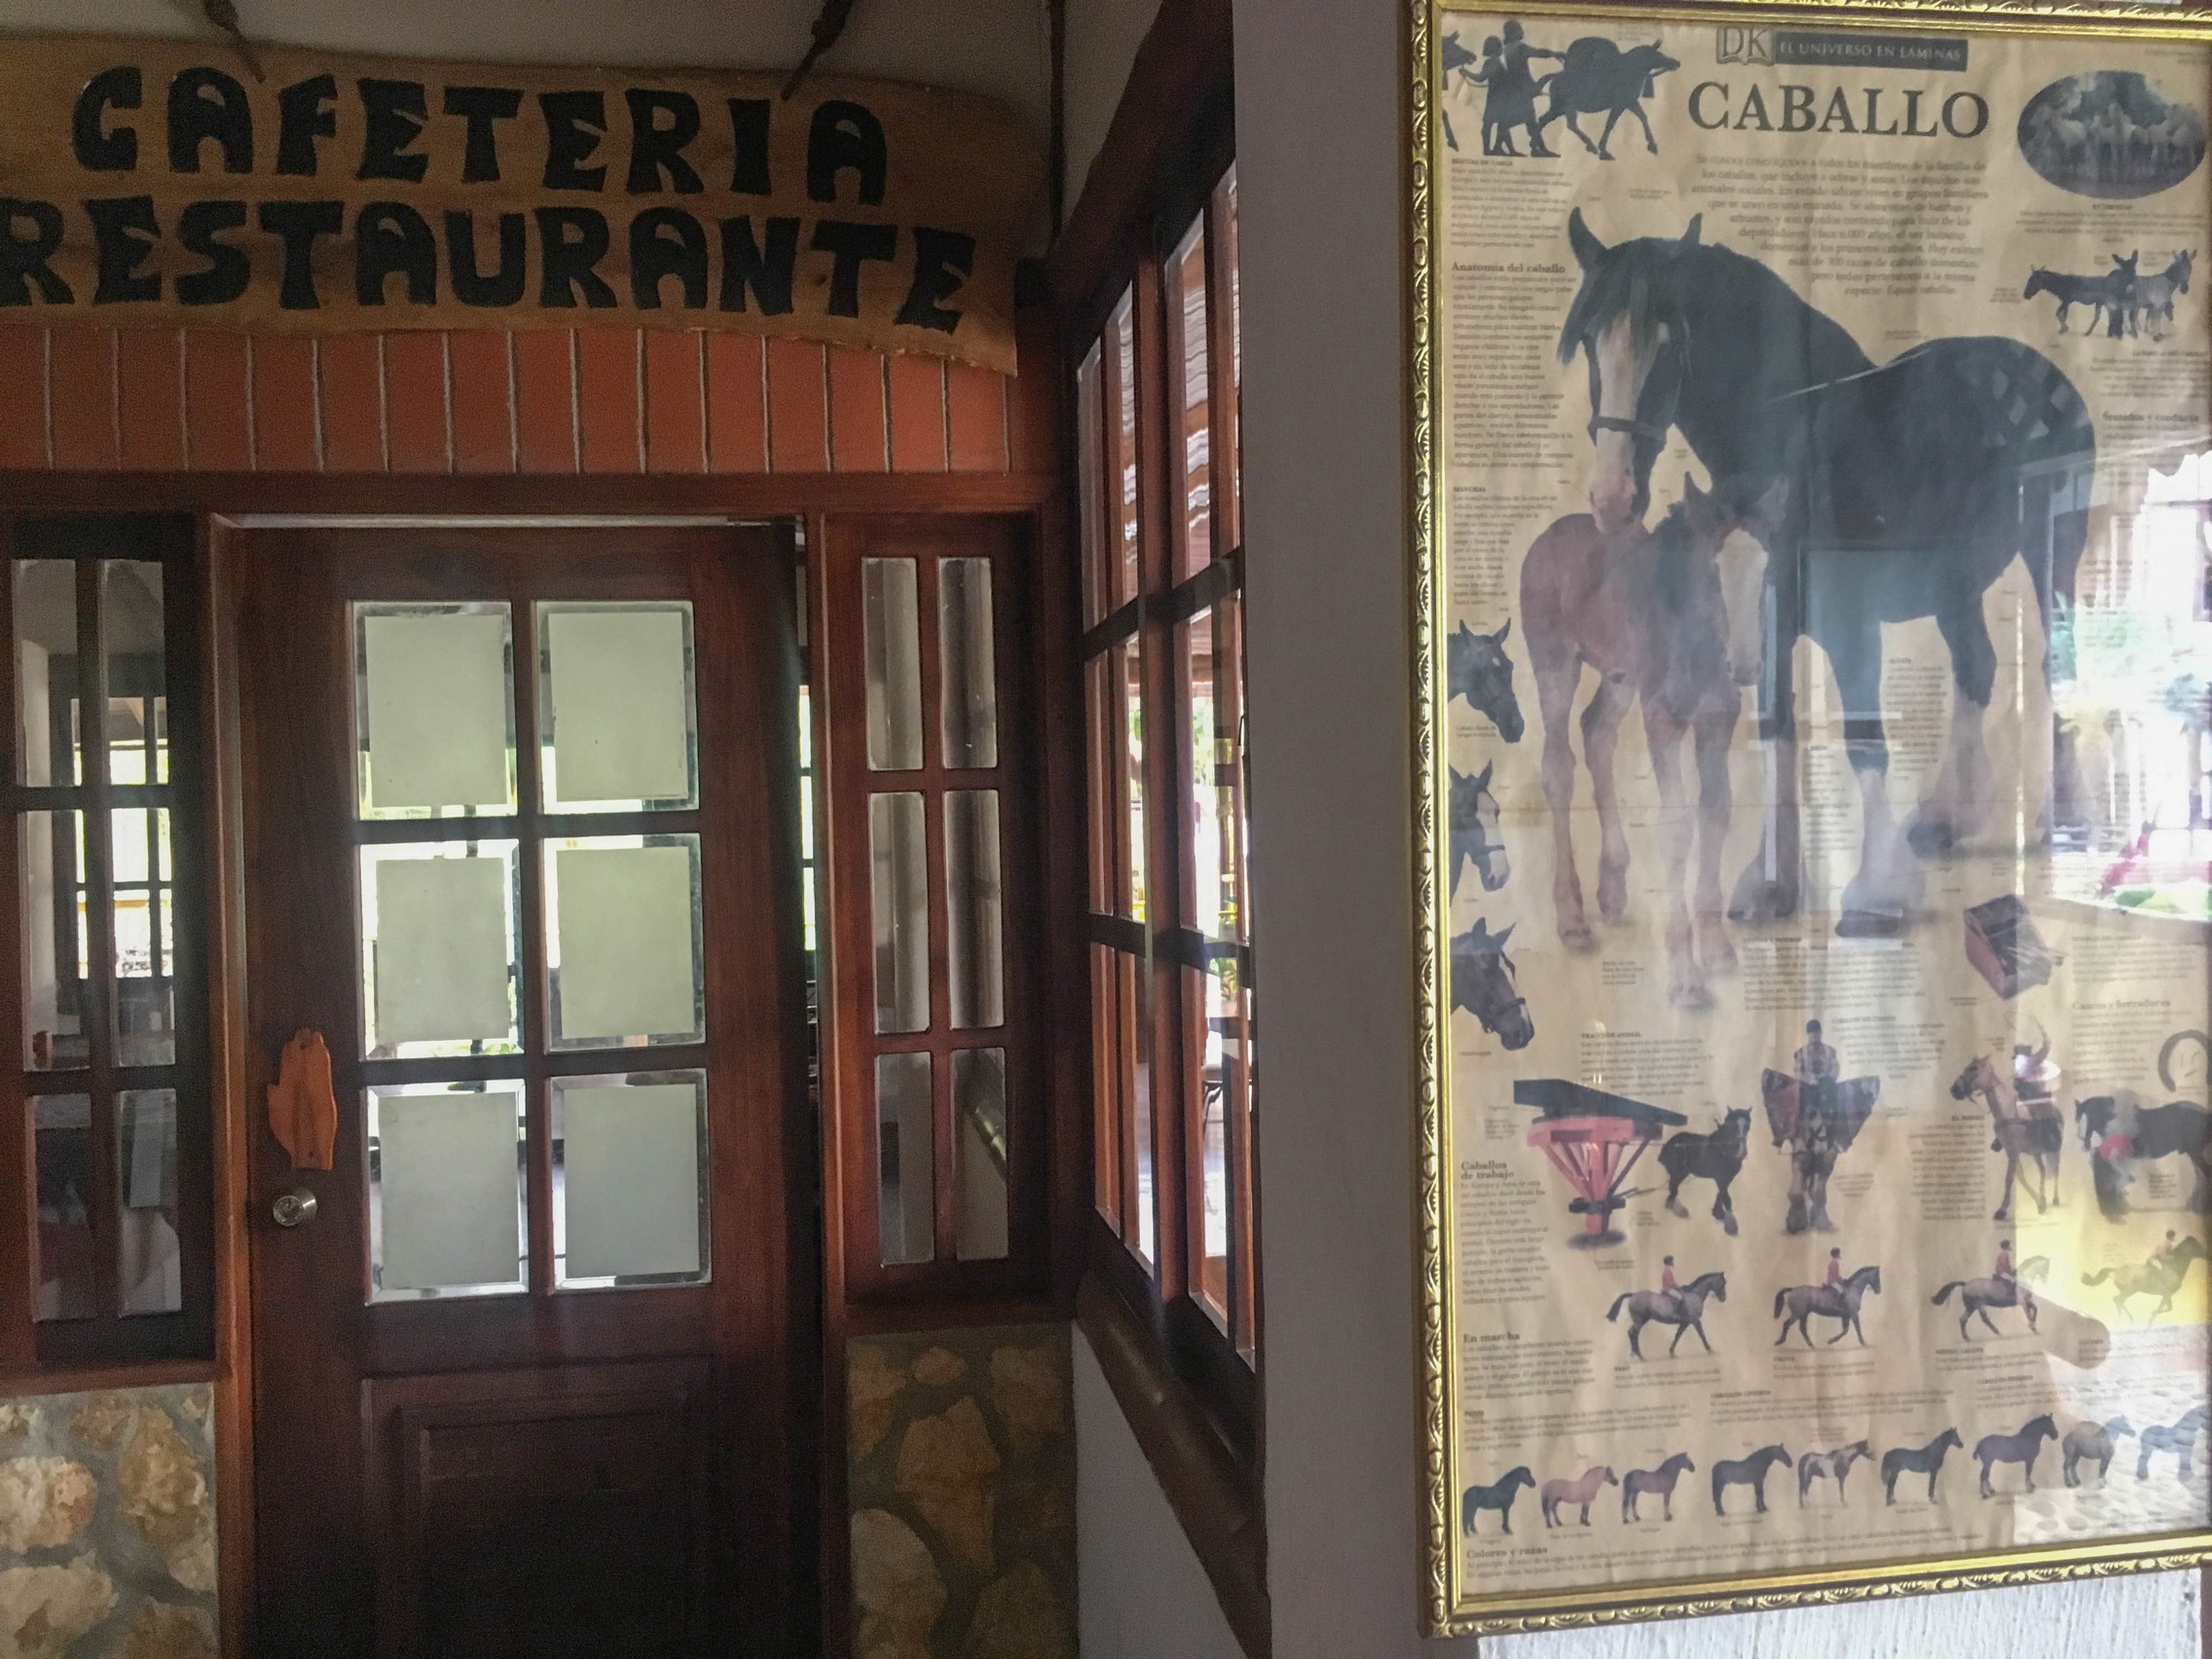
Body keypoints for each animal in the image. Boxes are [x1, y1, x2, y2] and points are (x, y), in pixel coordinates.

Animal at [1520, 479, 1779, 1004]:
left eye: (1766, 569)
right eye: (1712, 570)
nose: (1746, 666)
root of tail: (1547, 537)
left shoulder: (1717, 718)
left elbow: (1717, 810)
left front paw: (1716, 948)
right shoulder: (1662, 717)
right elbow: (1676, 825)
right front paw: (1685, 976)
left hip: (1620, 677)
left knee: (1596, 731)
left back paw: (1613, 888)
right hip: (1554, 661)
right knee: (1558, 766)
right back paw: (1572, 919)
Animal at [1532, 38, 1678, 160]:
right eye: (1659, 54)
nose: (1676, 63)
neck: (1629, 72)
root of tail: (1554, 77)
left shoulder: (1630, 102)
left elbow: (1643, 117)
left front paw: (1652, 146)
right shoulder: (1621, 105)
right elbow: (1610, 124)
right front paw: (1604, 151)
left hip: (1558, 109)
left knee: (1543, 121)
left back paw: (1537, 150)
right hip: (1564, 108)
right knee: (1570, 125)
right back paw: (1590, 146)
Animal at [1559, 212, 2095, 936]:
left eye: (1671, 345)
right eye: (1591, 340)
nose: (1613, 499)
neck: (1794, 437)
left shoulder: (1849, 623)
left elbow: (1864, 741)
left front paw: (1875, 892)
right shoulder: (1764, 620)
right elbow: (1775, 730)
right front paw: (1770, 883)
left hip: (2054, 556)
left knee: (2052, 665)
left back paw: (2056, 821)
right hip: (1955, 585)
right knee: (1977, 668)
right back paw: (1944, 818)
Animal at [1658, 1108, 1750, 1235]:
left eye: (1748, 1126)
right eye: (1732, 1126)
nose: (1742, 1152)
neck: (1722, 1149)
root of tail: (1669, 1143)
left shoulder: (1727, 1179)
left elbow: (1720, 1195)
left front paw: (1718, 1214)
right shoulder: (1721, 1179)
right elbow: (1726, 1198)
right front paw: (1731, 1227)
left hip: (1681, 1173)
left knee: (1673, 1186)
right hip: (1679, 1172)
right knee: (1673, 1186)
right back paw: (1678, 1209)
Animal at [1951, 1053, 2064, 1222]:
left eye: (1973, 1068)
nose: (1954, 1090)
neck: (2007, 1114)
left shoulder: (2013, 1152)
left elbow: (2009, 1178)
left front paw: (2002, 1210)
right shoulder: (2010, 1152)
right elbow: (2020, 1177)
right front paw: (2039, 1202)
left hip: (2055, 1150)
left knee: (2055, 1171)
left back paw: (2055, 1199)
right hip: (2036, 1153)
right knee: (2043, 1170)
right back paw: (2044, 1198)